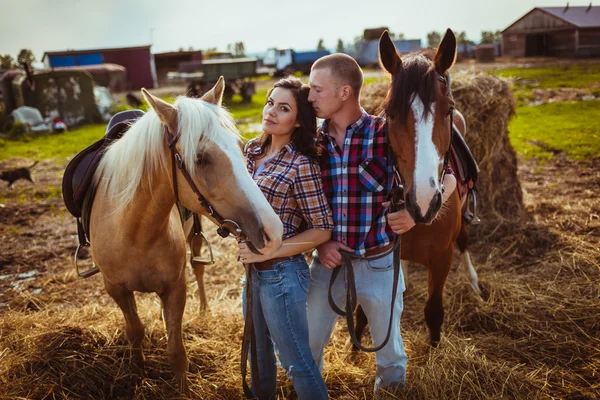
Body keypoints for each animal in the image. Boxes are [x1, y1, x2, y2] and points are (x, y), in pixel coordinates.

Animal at [89, 79, 284, 394]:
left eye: (241, 148)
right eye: (200, 159)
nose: (272, 230)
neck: (135, 232)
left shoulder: (175, 287)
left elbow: (176, 352)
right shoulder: (115, 289)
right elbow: (135, 332)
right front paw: (137, 373)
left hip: (195, 233)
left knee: (198, 268)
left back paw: (203, 309)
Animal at [354, 28, 480, 346]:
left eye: (448, 110)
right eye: (390, 113)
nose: (424, 202)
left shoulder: (442, 259)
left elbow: (434, 313)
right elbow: (362, 315)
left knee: (464, 241)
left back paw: (474, 282)